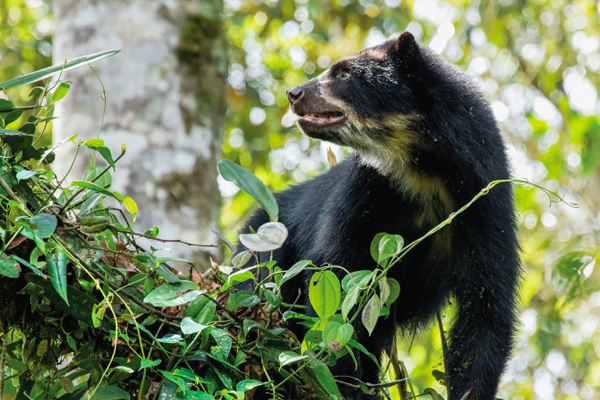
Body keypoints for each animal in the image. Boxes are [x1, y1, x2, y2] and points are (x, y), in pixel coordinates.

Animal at [239, 32, 520, 400]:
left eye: (344, 74)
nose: (294, 93)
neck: (424, 172)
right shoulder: (364, 191)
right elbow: (335, 278)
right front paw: (346, 384)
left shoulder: (484, 202)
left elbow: (486, 307)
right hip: (263, 252)